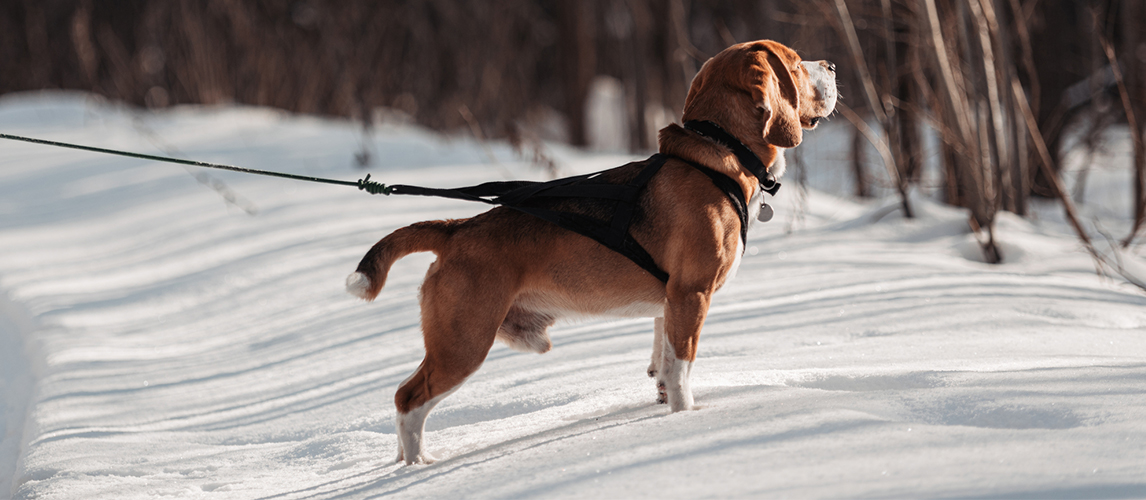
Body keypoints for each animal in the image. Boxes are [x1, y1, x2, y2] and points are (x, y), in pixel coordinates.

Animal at [343, 40, 838, 465]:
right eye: (796, 64)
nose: (832, 66)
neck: (717, 158)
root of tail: (456, 229)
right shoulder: (691, 295)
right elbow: (682, 369)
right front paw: (685, 420)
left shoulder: (670, 303)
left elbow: (664, 363)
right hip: (463, 343)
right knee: (408, 399)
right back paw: (415, 465)